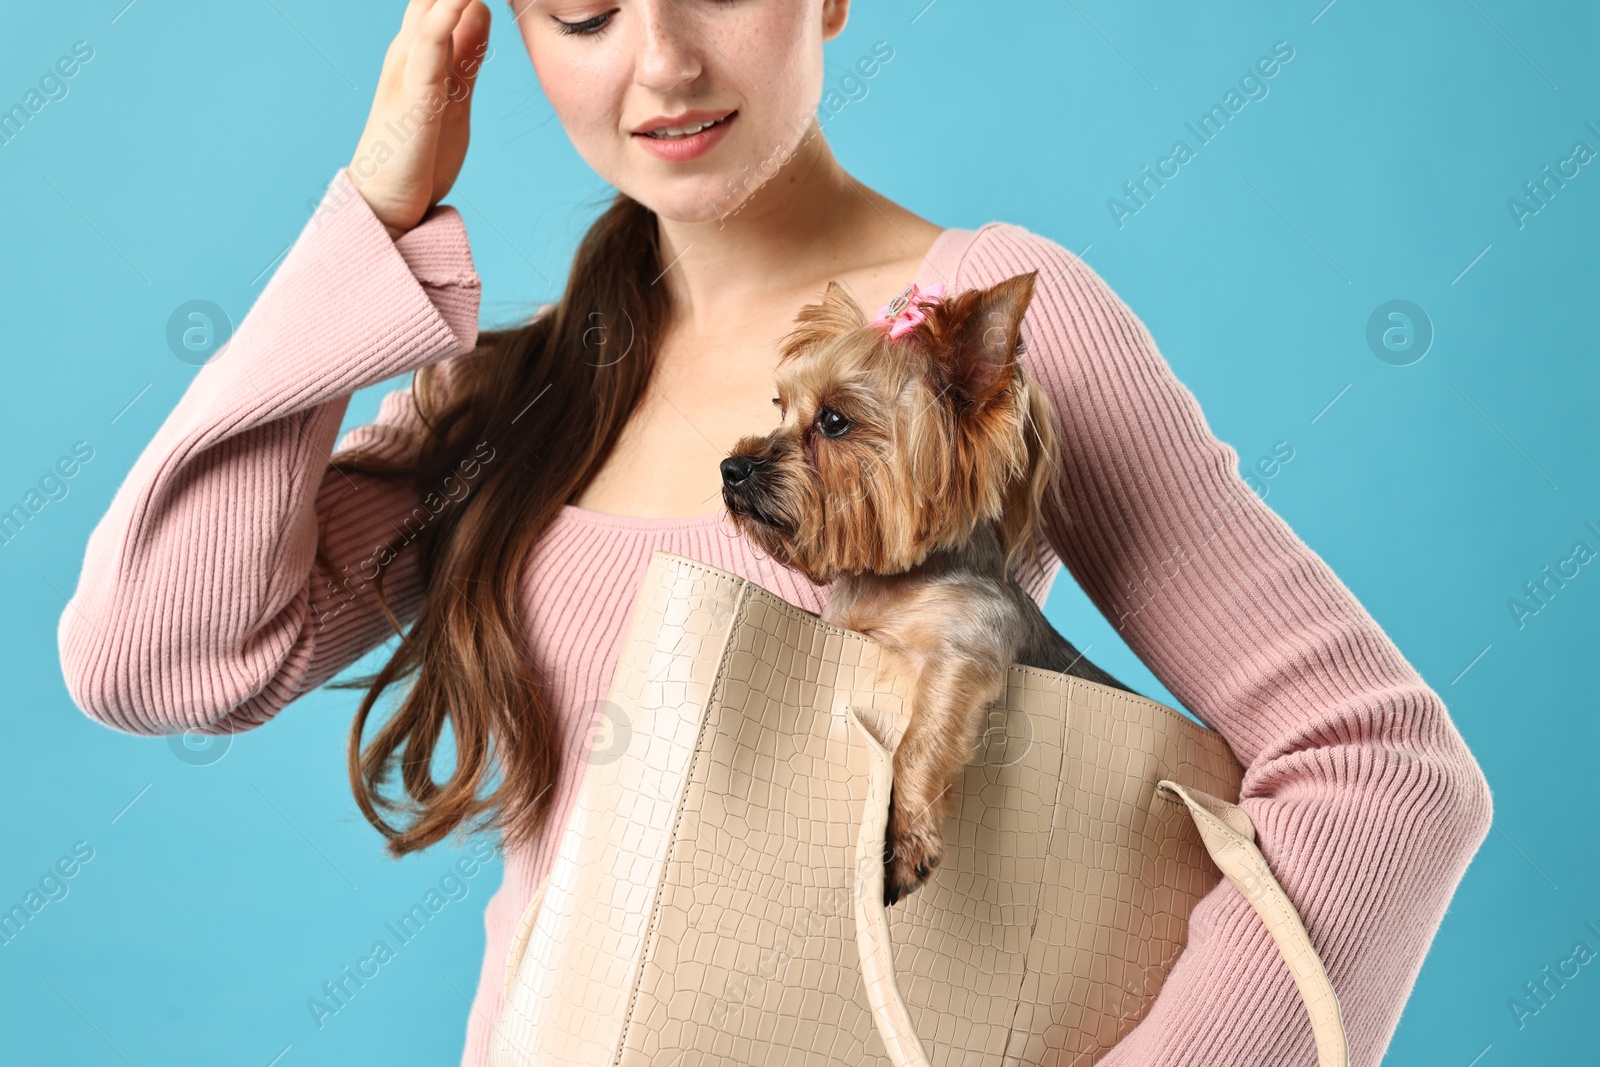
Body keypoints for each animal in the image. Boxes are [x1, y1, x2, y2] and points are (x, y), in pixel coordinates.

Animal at [726, 271, 1139, 908]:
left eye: (834, 421)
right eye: (781, 407)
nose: (731, 468)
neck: (890, 583)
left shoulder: (964, 647)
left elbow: (922, 737)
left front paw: (903, 837)